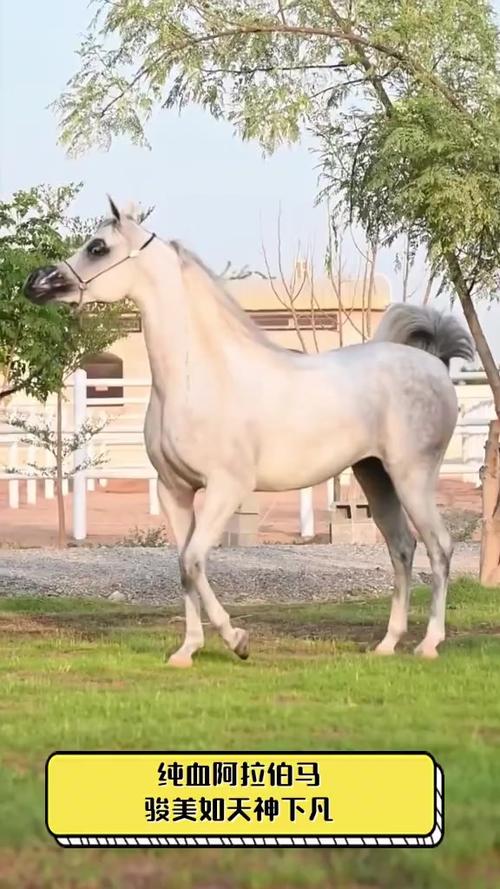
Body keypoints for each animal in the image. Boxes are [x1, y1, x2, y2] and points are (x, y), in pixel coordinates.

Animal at [25, 199, 474, 666]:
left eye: (98, 247)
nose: (35, 283)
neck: (199, 376)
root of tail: (434, 364)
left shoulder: (227, 488)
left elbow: (194, 560)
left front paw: (237, 640)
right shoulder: (174, 490)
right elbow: (183, 566)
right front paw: (187, 650)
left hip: (411, 477)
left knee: (439, 548)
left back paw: (428, 643)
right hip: (375, 475)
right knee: (402, 549)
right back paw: (387, 644)